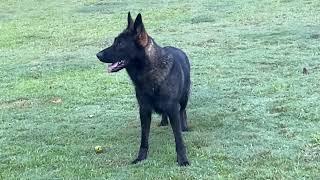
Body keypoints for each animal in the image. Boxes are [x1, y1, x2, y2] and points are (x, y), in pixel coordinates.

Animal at [96, 11, 191, 165]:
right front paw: (141, 157)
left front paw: (182, 159)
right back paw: (164, 121)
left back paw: (184, 126)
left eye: (120, 43)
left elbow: (178, 139)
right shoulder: (144, 111)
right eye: (115, 41)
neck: (150, 73)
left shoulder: (172, 109)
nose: (98, 55)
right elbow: (144, 138)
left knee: (183, 111)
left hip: (184, 98)